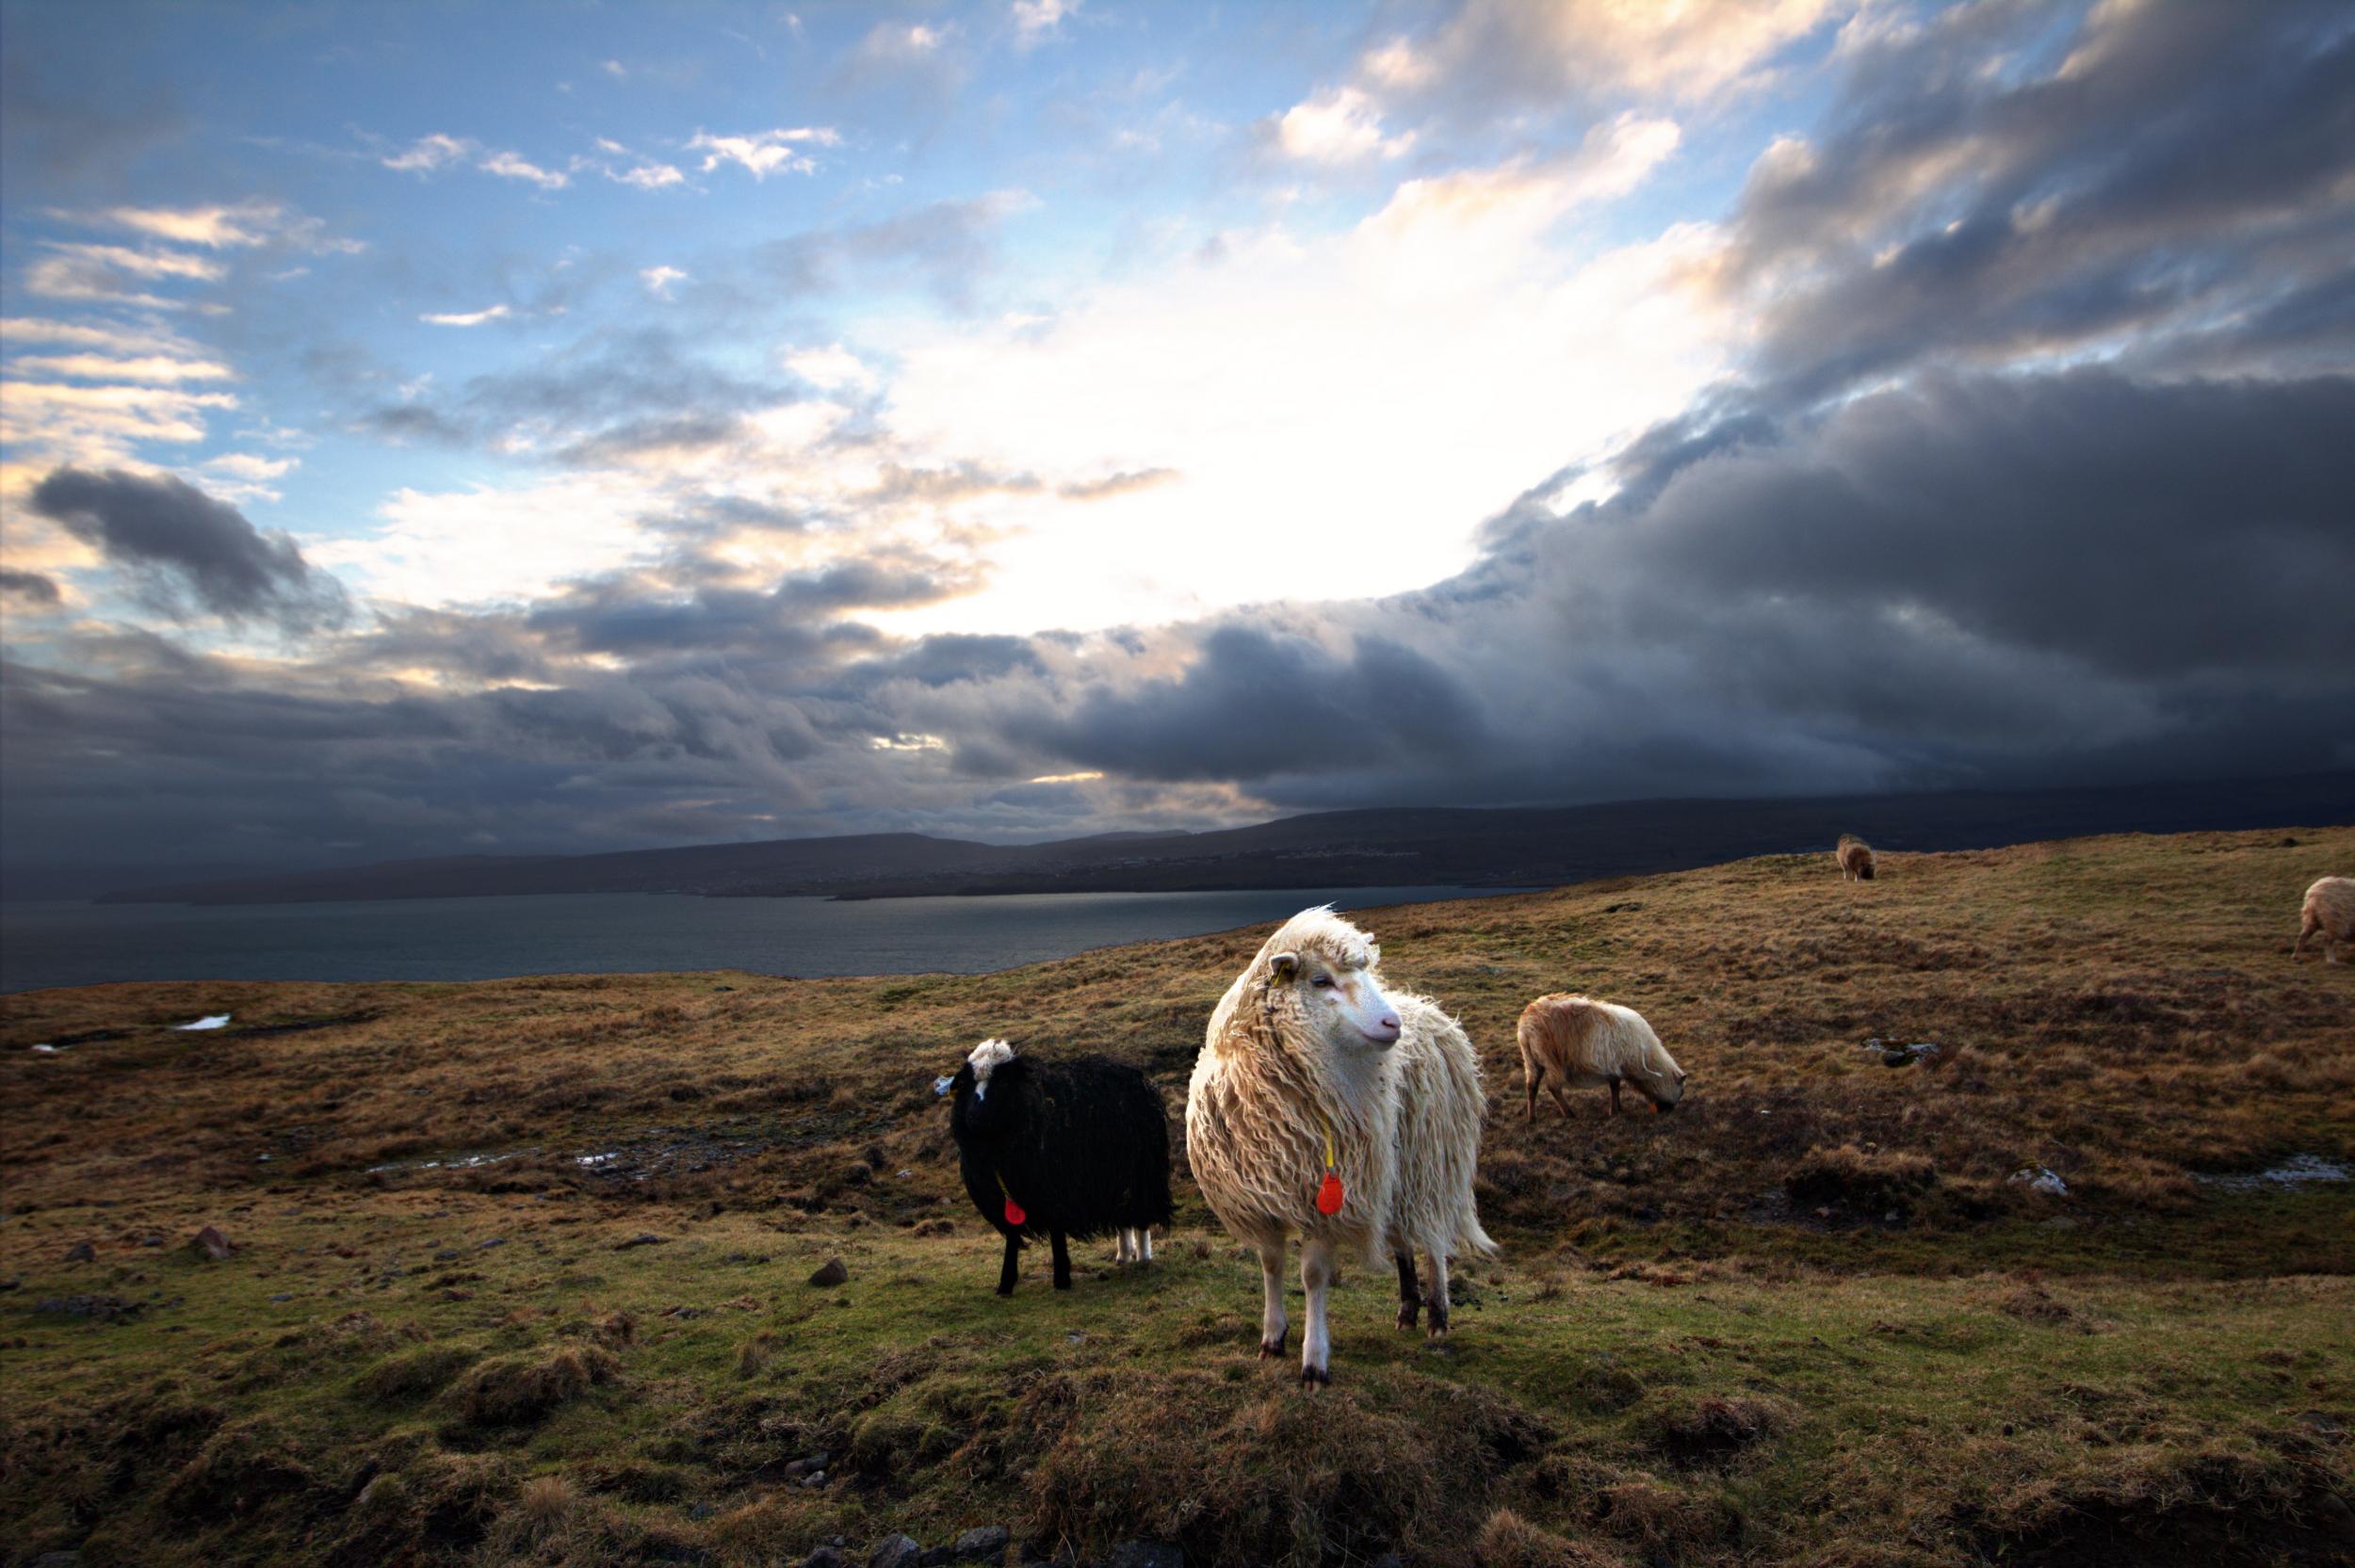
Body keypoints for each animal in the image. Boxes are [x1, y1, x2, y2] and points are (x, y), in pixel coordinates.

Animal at [951, 1031, 1173, 1290]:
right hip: (1115, 1175)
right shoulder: (1006, 1193)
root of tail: (1140, 1079)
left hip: (1141, 1170)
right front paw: (1006, 1283)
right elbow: (1012, 1236)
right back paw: (1124, 1254)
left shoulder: (1054, 1188)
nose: (974, 1117)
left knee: (1140, 1216)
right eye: (968, 1084)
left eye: (1002, 1082)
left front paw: (1061, 1279)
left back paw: (1143, 1257)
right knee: (1124, 1218)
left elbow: (1057, 1234)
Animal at [1187, 904, 1498, 1384]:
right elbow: (1271, 1266)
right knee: (1402, 1241)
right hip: (1390, 1172)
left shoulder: (1323, 1206)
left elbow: (1313, 1277)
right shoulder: (1261, 1201)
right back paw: (1408, 1309)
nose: (1392, 1023)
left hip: (1429, 1161)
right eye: (1321, 981)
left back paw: (1437, 1317)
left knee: (1432, 1240)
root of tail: (1430, 1010)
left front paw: (1314, 1362)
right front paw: (1271, 1339)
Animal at [1517, 989, 1686, 1111]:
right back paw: (1569, 1114)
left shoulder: (1614, 1066)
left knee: (1531, 1086)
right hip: (1551, 1059)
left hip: (1531, 1058)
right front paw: (1615, 1110)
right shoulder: (1617, 1064)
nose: (1668, 1111)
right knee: (1553, 1087)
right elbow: (1615, 1087)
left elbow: (1614, 1086)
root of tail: (1526, 1023)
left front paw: (1618, 1108)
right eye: (1681, 1091)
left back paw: (1532, 1118)